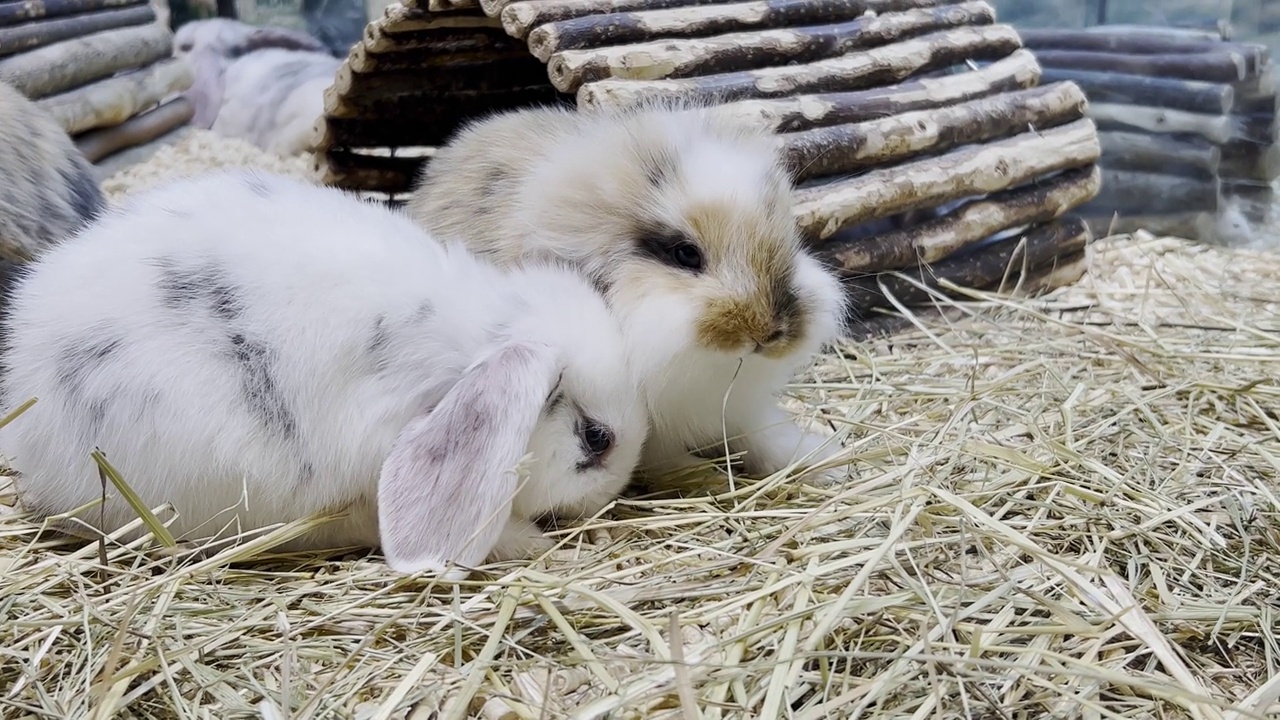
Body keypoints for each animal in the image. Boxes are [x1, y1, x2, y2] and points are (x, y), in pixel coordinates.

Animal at [409, 101, 849, 479]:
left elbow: (762, 434)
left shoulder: (737, 407)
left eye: (790, 240)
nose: (769, 333)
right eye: (685, 254)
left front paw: (822, 460)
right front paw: (704, 477)